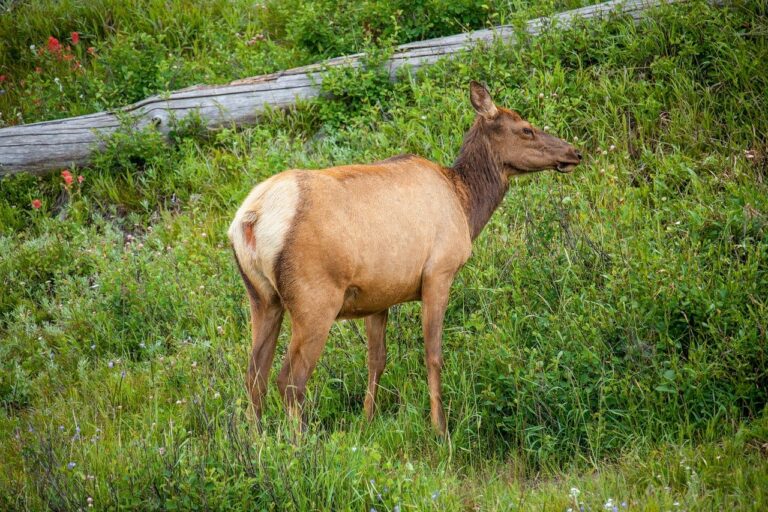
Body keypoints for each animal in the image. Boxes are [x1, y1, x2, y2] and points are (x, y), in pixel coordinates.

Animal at [230, 82, 584, 434]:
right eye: (526, 128)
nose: (574, 152)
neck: (466, 204)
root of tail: (251, 218)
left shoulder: (378, 296)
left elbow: (377, 359)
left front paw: (368, 420)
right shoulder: (439, 272)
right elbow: (433, 355)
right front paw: (440, 428)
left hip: (262, 298)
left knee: (254, 376)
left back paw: (257, 440)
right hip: (314, 300)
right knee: (290, 380)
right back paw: (299, 442)